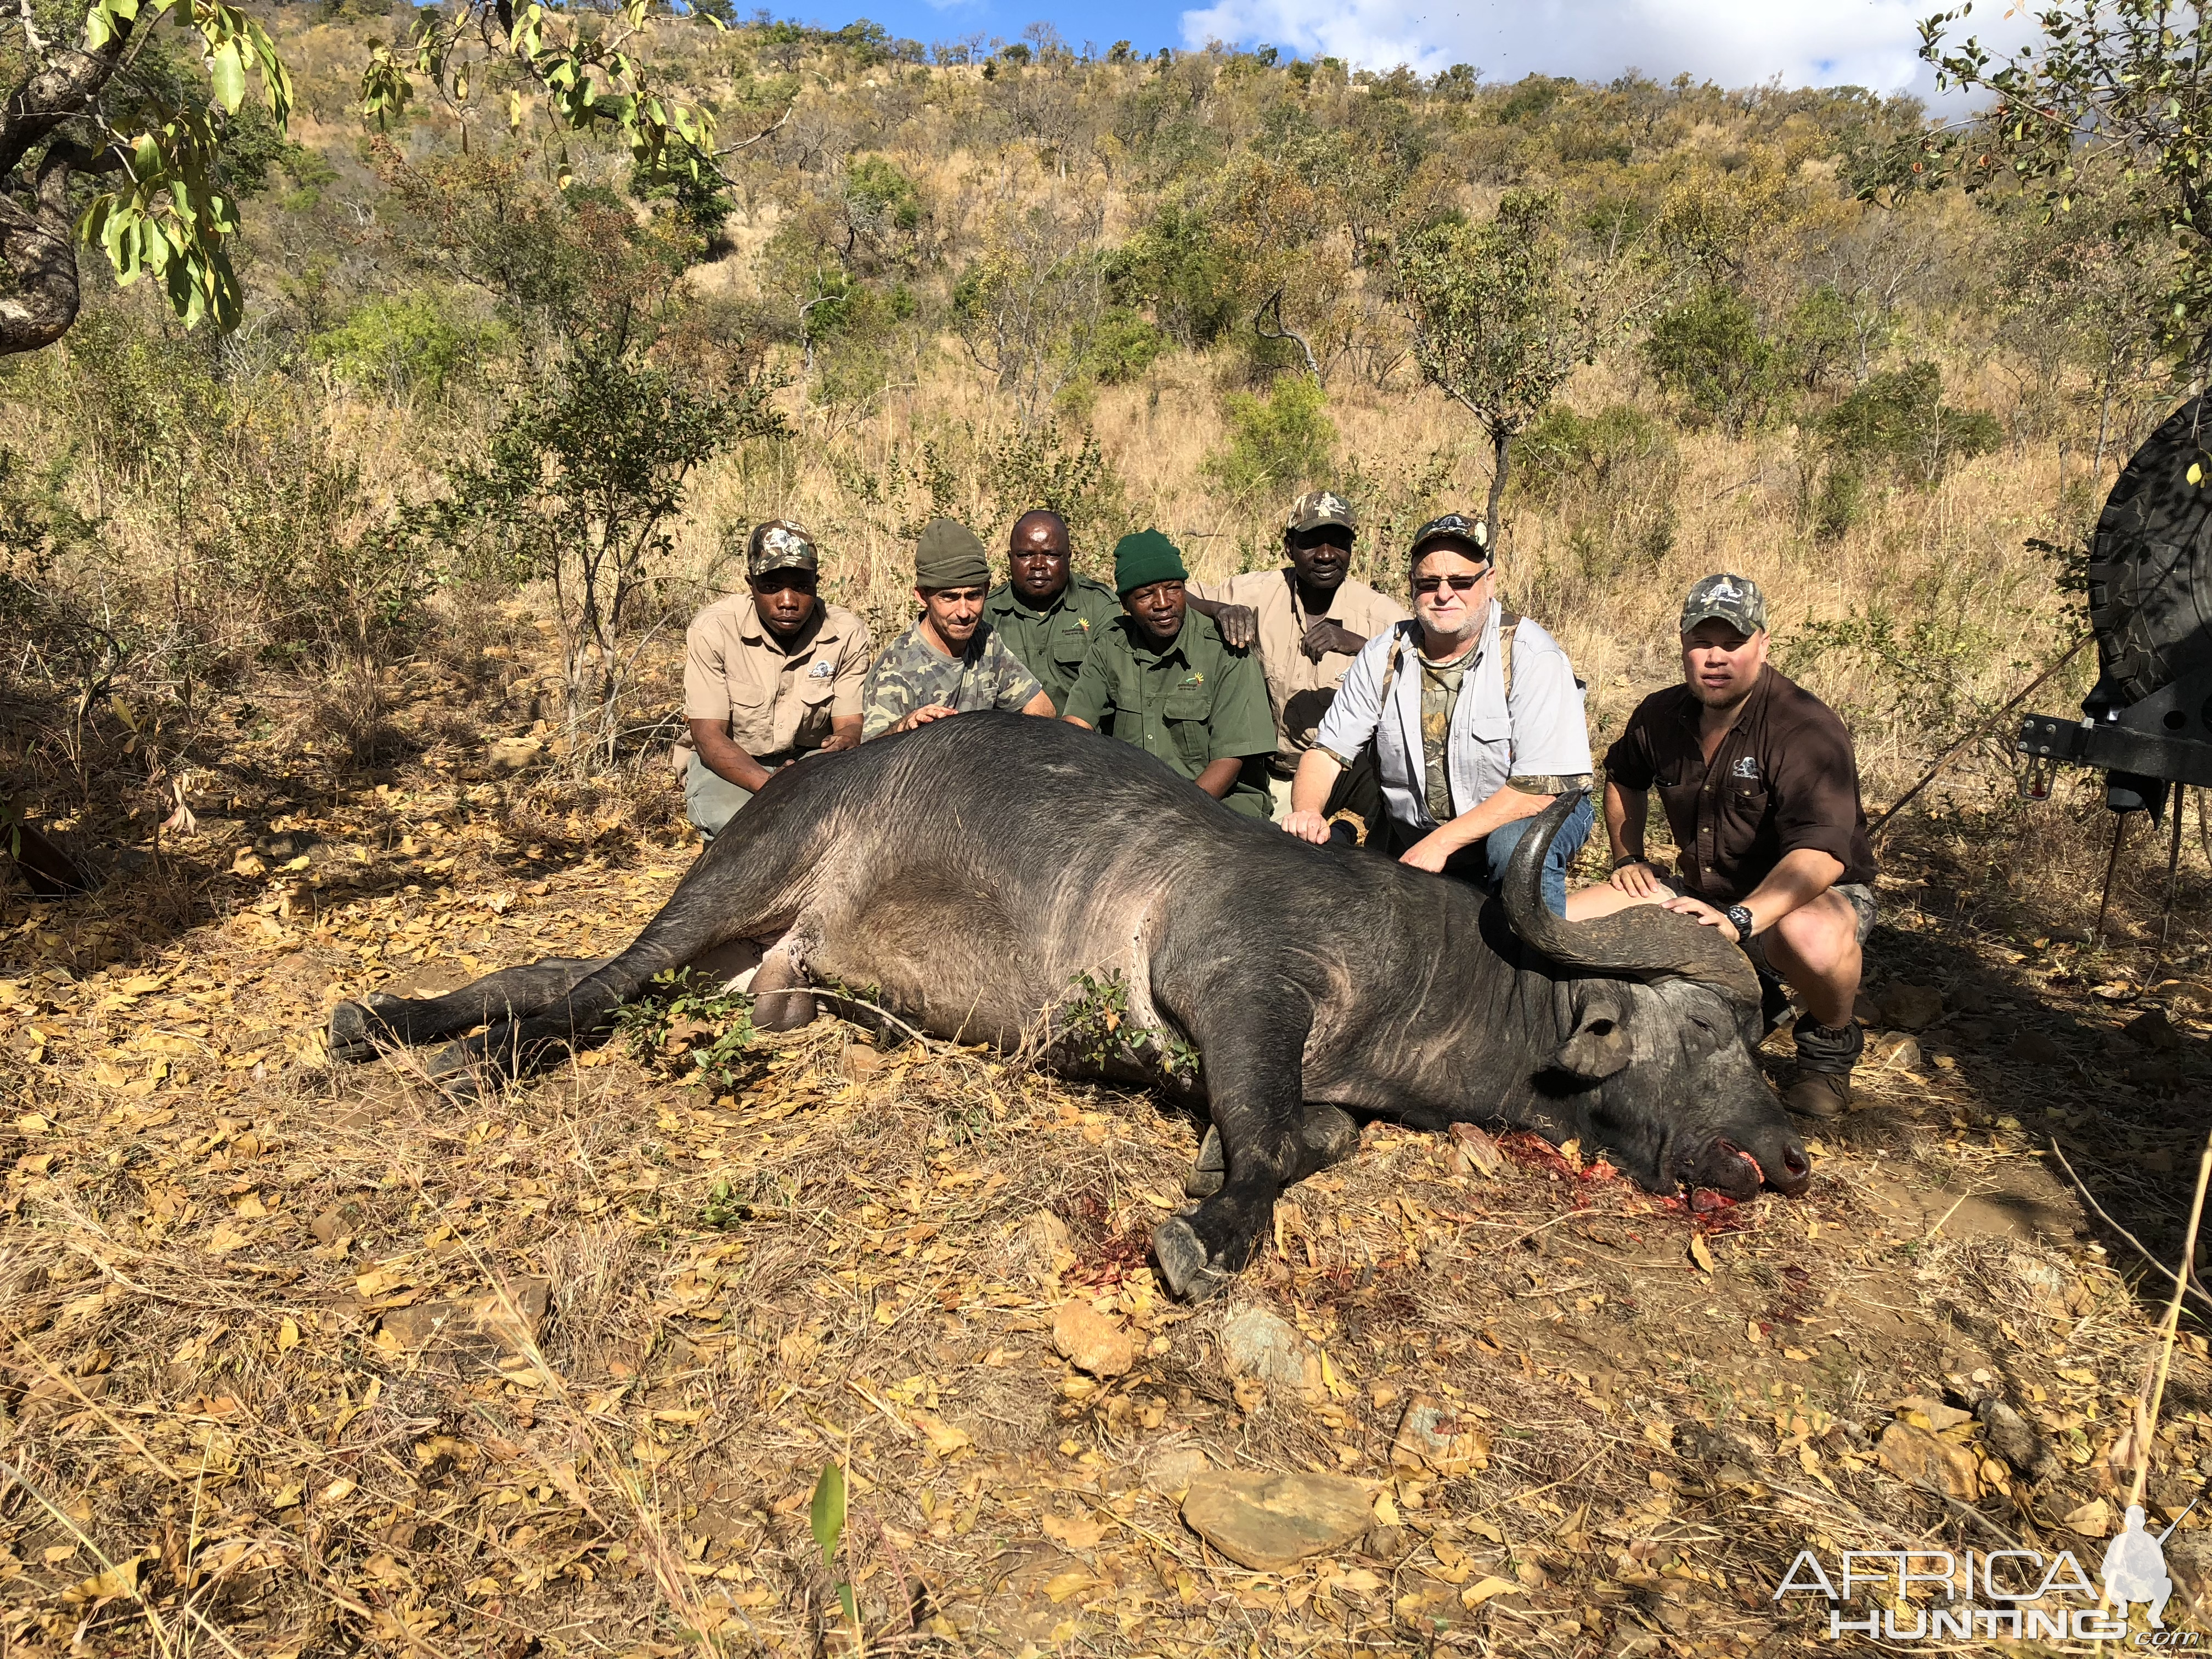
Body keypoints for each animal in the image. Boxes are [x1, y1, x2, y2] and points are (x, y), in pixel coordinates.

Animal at [331, 716, 1814, 1300]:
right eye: (1711, 1033)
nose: (1790, 1155)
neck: (1418, 957)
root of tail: (818, 777)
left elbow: (1316, 1134)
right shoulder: (1237, 988)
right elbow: (1273, 1141)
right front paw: (1212, 1226)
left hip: (757, 979)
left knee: (560, 978)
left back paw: (386, 1021)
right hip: (733, 886)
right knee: (585, 989)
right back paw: (456, 1056)